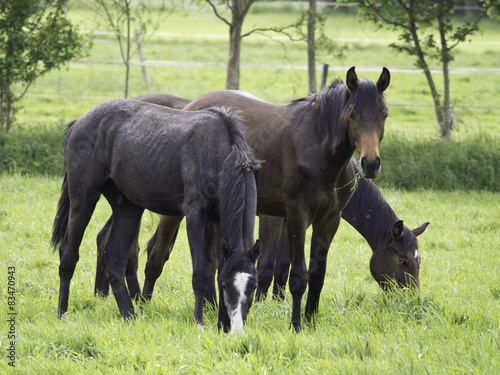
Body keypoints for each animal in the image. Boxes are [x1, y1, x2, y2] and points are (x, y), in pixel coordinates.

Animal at [50, 98, 262, 334]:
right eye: (227, 286)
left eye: (253, 286)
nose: (237, 329)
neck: (219, 151)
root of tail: (79, 122)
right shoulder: (195, 214)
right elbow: (200, 274)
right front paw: (199, 323)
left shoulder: (217, 220)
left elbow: (218, 268)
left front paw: (221, 326)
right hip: (84, 199)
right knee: (68, 255)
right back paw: (62, 314)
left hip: (128, 209)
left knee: (113, 259)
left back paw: (130, 315)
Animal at [258, 160, 430, 302]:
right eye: (402, 261)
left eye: (419, 260)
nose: (413, 298)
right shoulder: (271, 218)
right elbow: (266, 265)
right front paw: (261, 307)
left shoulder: (291, 221)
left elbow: (282, 266)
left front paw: (278, 304)